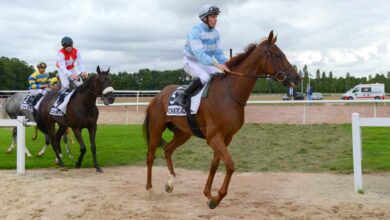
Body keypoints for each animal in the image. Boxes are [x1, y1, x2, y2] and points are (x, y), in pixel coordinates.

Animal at [145, 31, 300, 208]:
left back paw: (170, 182)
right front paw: (217, 197)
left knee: (167, 149)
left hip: (183, 133)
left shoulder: (226, 137)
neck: (229, 94)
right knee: (150, 155)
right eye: (277, 54)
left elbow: (215, 164)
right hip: (156, 128)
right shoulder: (214, 137)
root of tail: (157, 96)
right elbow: (230, 165)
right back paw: (149, 188)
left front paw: (209, 194)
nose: (297, 77)